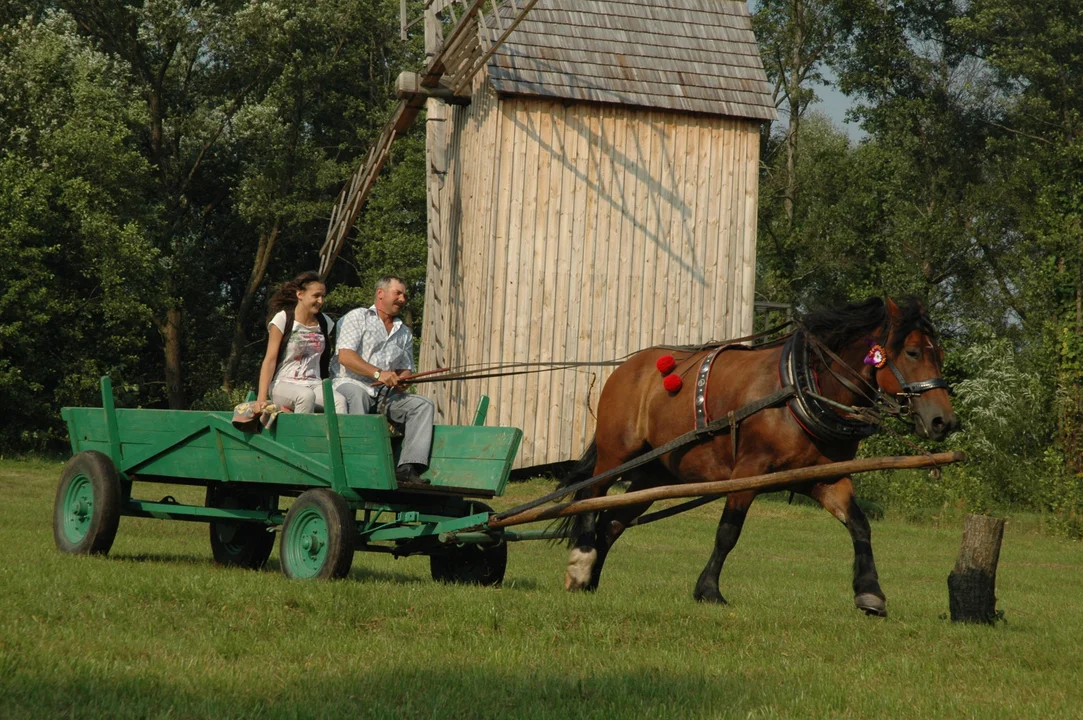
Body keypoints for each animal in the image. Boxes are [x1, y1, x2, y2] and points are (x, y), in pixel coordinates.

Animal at [558, 294, 957, 614]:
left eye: (940, 354)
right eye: (913, 352)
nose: (943, 421)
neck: (800, 389)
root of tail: (628, 367)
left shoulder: (826, 477)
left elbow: (860, 525)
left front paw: (870, 593)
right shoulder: (748, 471)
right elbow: (728, 532)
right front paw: (708, 590)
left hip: (655, 473)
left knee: (611, 522)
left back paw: (590, 581)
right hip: (617, 455)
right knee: (590, 497)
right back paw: (581, 562)